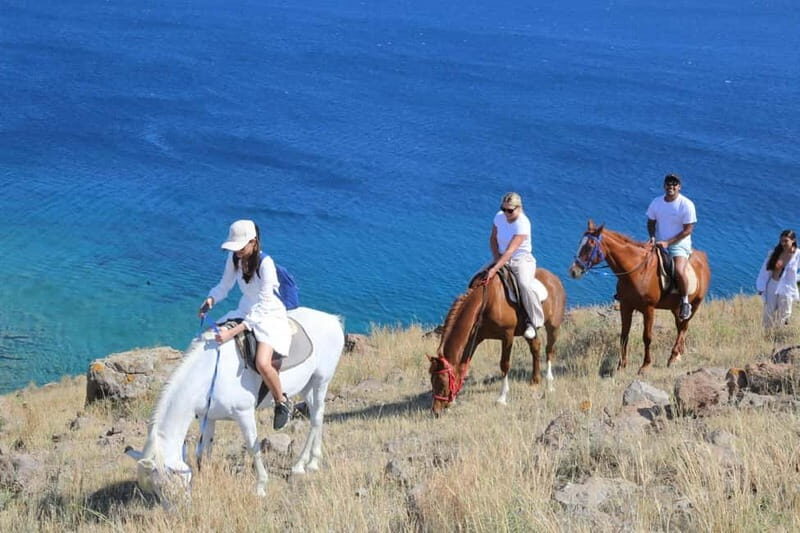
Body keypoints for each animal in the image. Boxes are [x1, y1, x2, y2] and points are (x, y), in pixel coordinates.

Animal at [125, 306, 344, 500]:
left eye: (167, 482)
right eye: (154, 489)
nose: (177, 509)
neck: (208, 373)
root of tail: (332, 319)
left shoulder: (244, 413)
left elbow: (253, 447)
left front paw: (261, 487)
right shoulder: (208, 417)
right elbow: (204, 448)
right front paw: (205, 477)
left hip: (321, 381)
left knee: (316, 419)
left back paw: (303, 465)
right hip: (307, 387)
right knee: (317, 415)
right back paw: (309, 462)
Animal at [428, 267, 566, 416]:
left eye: (443, 383)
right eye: (432, 381)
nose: (435, 411)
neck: (487, 301)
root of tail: (555, 278)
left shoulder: (507, 335)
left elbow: (504, 364)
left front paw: (502, 398)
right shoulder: (475, 338)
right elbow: (463, 365)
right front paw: (453, 399)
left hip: (553, 326)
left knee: (549, 350)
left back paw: (549, 383)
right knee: (536, 347)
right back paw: (535, 380)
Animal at [568, 220, 711, 373]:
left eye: (590, 246)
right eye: (580, 243)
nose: (573, 271)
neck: (637, 271)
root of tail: (703, 257)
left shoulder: (649, 309)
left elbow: (647, 337)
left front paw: (645, 365)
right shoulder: (625, 306)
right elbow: (624, 335)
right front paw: (621, 365)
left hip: (694, 304)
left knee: (684, 326)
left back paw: (673, 357)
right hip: (675, 307)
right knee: (681, 326)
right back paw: (678, 354)